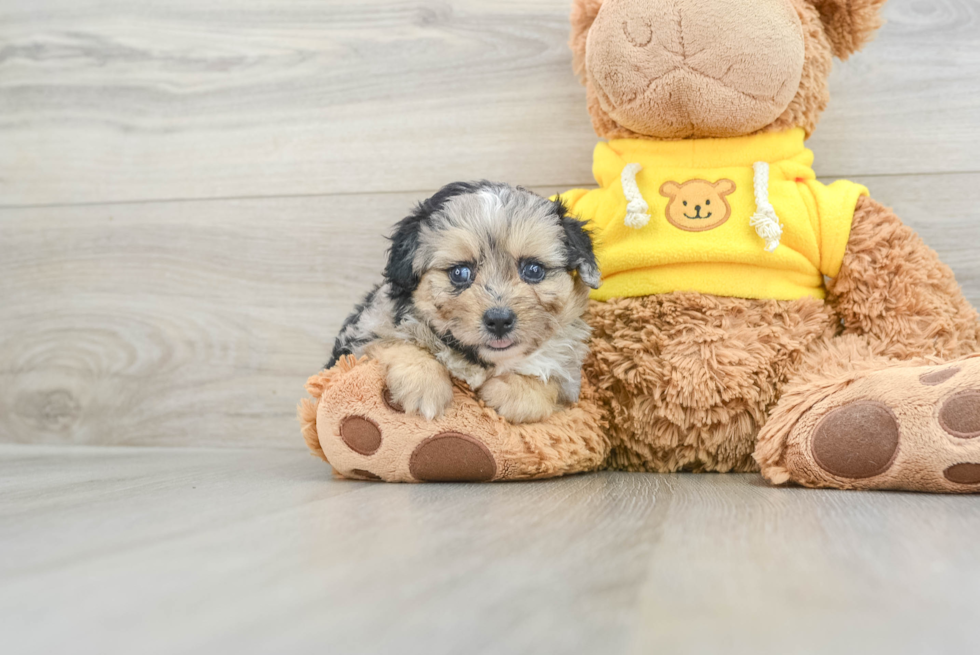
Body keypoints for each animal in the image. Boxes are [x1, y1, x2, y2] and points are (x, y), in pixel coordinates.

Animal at [330, 181, 600, 426]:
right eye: (460, 272)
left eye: (534, 269)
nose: (499, 320)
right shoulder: (366, 331)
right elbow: (398, 342)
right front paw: (424, 387)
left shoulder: (569, 382)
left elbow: (549, 383)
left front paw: (507, 393)